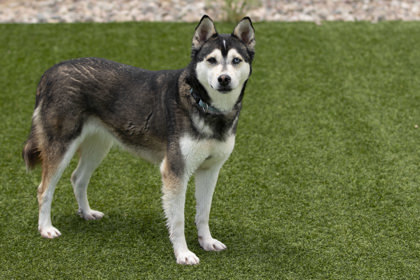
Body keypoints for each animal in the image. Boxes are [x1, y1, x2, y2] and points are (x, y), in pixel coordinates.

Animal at [23, 15, 256, 264]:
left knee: (78, 178)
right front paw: (183, 253)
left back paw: (86, 213)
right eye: (212, 60)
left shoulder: (210, 170)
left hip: (98, 146)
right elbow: (178, 220)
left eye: (236, 60)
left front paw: (207, 242)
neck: (203, 104)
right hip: (62, 146)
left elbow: (203, 213)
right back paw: (46, 228)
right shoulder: (175, 170)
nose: (224, 79)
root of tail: (50, 72)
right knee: (44, 189)